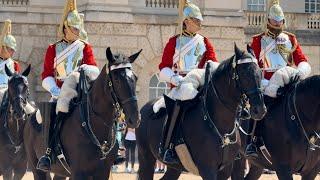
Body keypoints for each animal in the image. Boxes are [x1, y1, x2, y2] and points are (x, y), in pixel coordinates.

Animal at [23, 47, 141, 179]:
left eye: (135, 78)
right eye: (116, 79)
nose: (135, 119)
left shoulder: (103, 172)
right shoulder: (78, 173)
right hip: (37, 169)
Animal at [136, 44, 266, 180]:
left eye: (260, 73)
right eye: (244, 74)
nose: (260, 110)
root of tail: (145, 108)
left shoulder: (225, 169)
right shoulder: (208, 169)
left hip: (174, 167)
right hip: (146, 159)